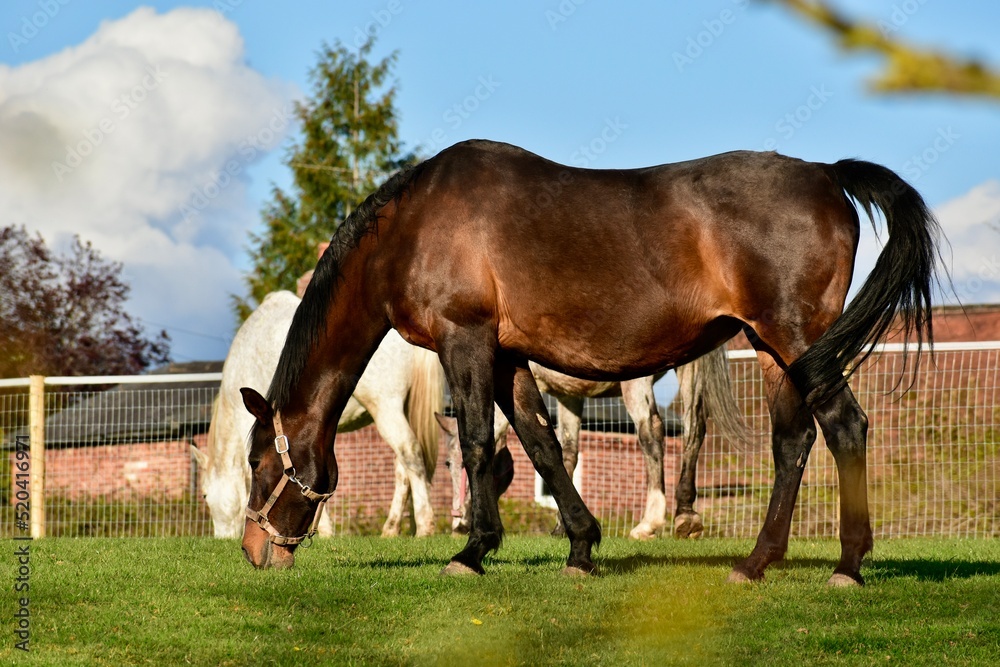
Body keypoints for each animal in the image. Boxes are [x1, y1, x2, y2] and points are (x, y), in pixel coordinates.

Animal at [193, 290, 443, 538]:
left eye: (204, 494)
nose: (222, 538)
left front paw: (323, 529)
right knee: (403, 467)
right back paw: (392, 528)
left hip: (386, 408)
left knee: (410, 453)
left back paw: (424, 525)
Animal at [441, 346, 747, 540]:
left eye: (457, 465)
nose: (457, 521)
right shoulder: (568, 395)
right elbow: (568, 453)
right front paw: (562, 526)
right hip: (690, 367)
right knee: (694, 429)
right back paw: (686, 516)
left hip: (637, 380)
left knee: (652, 433)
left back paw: (648, 523)